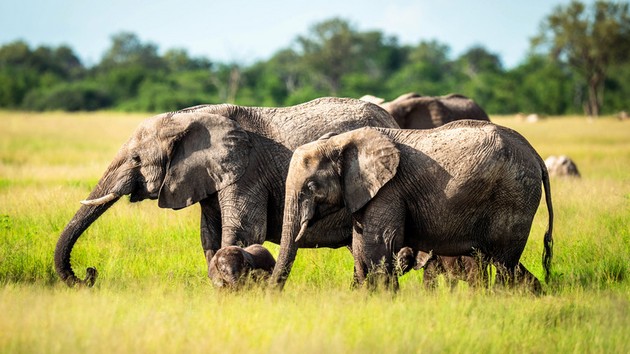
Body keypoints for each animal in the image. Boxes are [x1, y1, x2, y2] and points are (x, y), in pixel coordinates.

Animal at [55, 97, 400, 288]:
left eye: (137, 159)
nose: (89, 274)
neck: (188, 118)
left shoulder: (246, 169)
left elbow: (243, 230)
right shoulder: (208, 176)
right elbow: (209, 234)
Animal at [272, 120, 552, 292]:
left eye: (311, 187)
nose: (270, 295)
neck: (343, 141)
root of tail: (536, 155)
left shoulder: (389, 190)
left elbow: (376, 244)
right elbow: (362, 245)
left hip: (514, 195)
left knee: (504, 261)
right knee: (491, 260)